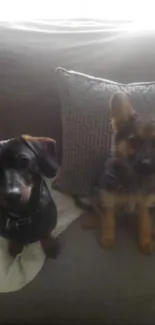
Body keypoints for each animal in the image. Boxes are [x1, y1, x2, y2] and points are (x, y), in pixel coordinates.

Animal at [80, 91, 155, 253]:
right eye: (134, 141)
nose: (147, 165)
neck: (133, 179)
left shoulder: (144, 203)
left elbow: (144, 222)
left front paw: (146, 241)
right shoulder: (108, 196)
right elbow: (108, 219)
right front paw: (108, 237)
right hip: (97, 193)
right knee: (98, 211)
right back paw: (92, 220)